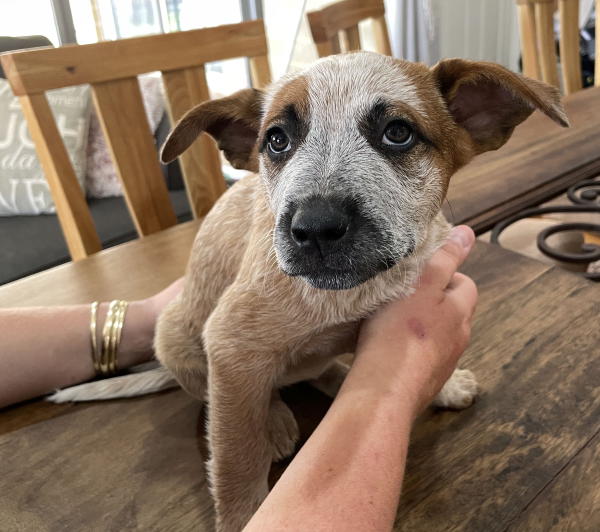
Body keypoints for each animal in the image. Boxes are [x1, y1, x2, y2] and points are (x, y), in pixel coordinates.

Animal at [151, 51, 568, 532]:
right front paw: (243, 515)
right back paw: (274, 419)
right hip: (175, 339)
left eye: (398, 132)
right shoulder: (229, 340)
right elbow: (237, 458)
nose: (314, 228)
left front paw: (445, 386)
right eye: (276, 140)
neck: (360, 292)